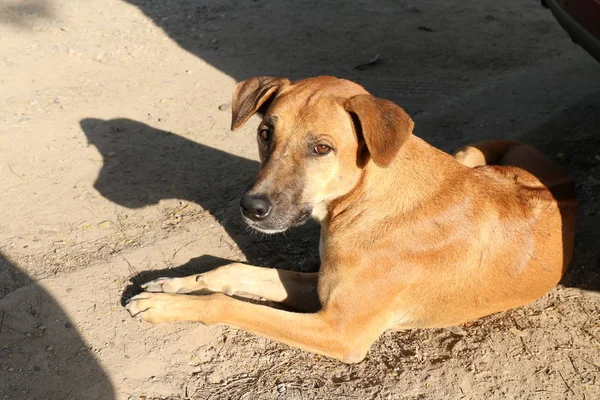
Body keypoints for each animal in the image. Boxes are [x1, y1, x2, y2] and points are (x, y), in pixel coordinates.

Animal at [126, 75, 576, 362]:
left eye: (322, 148)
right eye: (265, 133)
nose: (251, 208)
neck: (365, 199)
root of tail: (560, 178)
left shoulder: (339, 331)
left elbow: (230, 305)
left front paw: (166, 305)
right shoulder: (322, 288)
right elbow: (230, 270)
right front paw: (174, 284)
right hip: (467, 154)